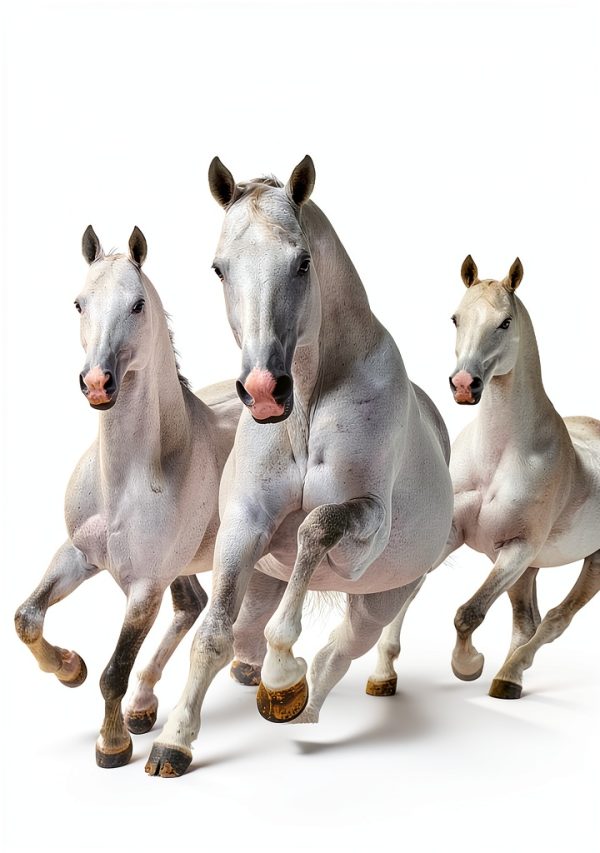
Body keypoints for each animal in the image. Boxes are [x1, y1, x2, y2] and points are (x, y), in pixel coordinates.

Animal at [14, 226, 249, 768]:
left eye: (137, 304)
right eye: (79, 303)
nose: (98, 383)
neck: (126, 480)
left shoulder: (144, 587)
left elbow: (113, 672)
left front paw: (113, 744)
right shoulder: (78, 555)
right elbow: (26, 618)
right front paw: (69, 667)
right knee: (191, 605)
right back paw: (144, 705)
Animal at [145, 156, 454, 777]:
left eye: (302, 262)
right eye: (219, 268)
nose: (265, 391)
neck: (310, 405)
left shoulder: (362, 538)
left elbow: (314, 526)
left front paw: (282, 669)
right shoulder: (243, 527)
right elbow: (211, 635)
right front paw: (174, 742)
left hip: (383, 597)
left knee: (341, 650)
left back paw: (296, 704)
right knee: (260, 636)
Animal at [447, 255, 600, 699]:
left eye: (505, 322)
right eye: (456, 318)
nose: (464, 385)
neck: (499, 455)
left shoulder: (517, 549)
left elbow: (469, 612)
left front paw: (468, 665)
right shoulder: (457, 534)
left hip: (590, 562)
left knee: (554, 620)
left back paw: (508, 677)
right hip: (528, 569)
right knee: (527, 622)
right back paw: (506, 676)